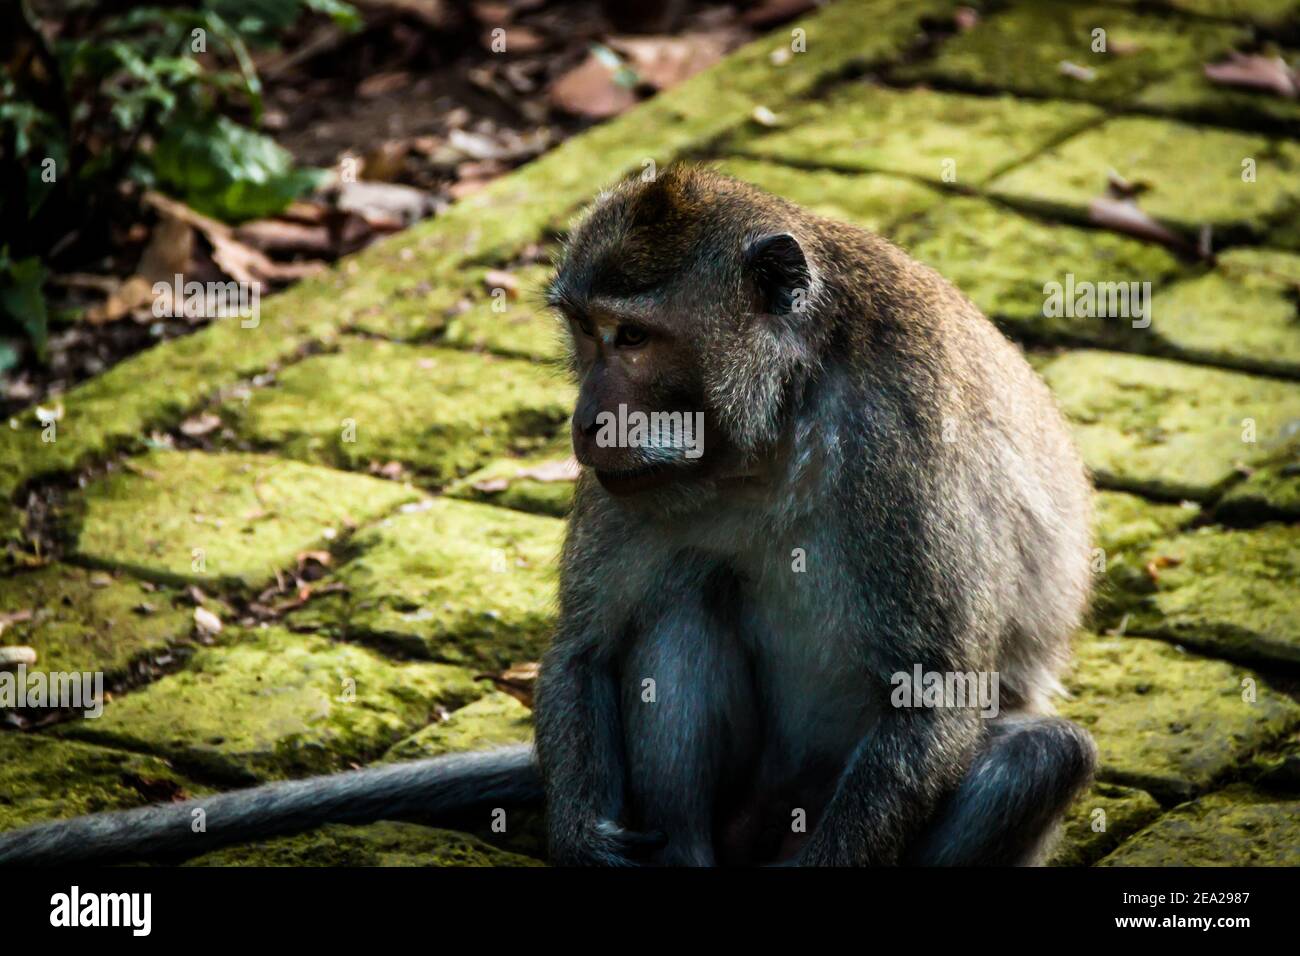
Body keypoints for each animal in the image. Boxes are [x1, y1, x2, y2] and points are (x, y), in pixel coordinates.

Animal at [0, 164, 1097, 868]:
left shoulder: (901, 446)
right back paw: (681, 855)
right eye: (584, 329)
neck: (774, 421)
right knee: (680, 608)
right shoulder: (628, 485)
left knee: (1037, 758)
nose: (589, 412)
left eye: (634, 336)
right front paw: (582, 841)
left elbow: (932, 693)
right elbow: (586, 647)